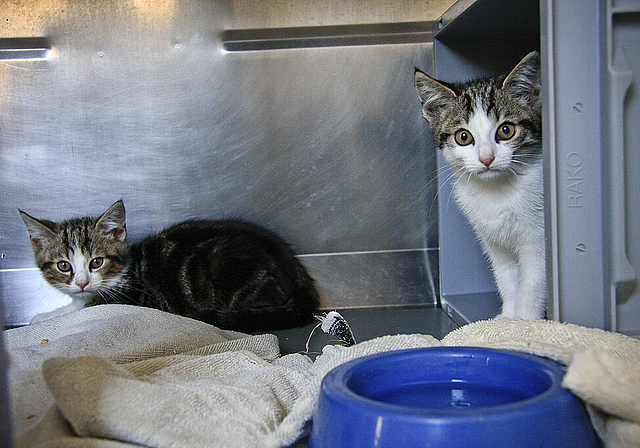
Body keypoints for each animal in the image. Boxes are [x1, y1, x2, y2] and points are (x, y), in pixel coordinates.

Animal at [18, 201, 318, 330]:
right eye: (64, 266)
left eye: (97, 262)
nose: (81, 282)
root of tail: (300, 277)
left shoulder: (132, 299)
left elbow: (83, 309)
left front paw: (45, 316)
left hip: (225, 262)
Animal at [416, 51, 544, 318]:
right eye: (463, 136)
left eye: (506, 130)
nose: (487, 158)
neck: (496, 190)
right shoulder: (494, 242)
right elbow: (506, 277)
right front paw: (507, 317)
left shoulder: (538, 239)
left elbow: (533, 281)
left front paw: (526, 321)